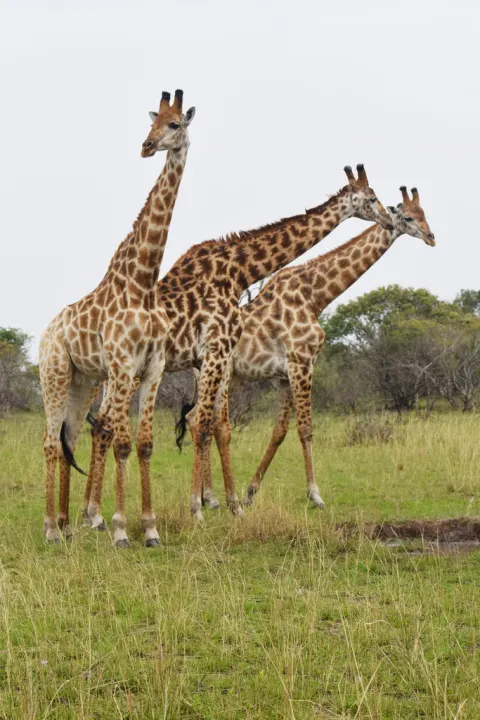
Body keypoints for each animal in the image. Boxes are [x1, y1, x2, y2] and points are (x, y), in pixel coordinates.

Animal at [39, 89, 195, 546]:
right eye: (151, 122)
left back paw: (64, 525)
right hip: (54, 375)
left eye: (175, 124)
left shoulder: (153, 368)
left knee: (68, 438)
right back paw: (51, 530)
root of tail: (45, 333)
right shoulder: (125, 366)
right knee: (50, 443)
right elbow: (122, 442)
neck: (143, 284)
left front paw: (151, 528)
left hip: (82, 383)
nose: (146, 146)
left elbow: (144, 444)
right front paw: (122, 529)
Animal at [203, 186, 434, 509]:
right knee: (207, 422)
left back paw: (207, 497)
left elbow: (279, 432)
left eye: (426, 214)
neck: (316, 296)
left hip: (232, 378)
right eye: (410, 217)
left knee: (195, 419)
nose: (431, 237)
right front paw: (315, 495)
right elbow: (306, 429)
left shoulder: (286, 374)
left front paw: (250, 492)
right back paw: (211, 498)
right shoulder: (301, 363)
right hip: (220, 375)